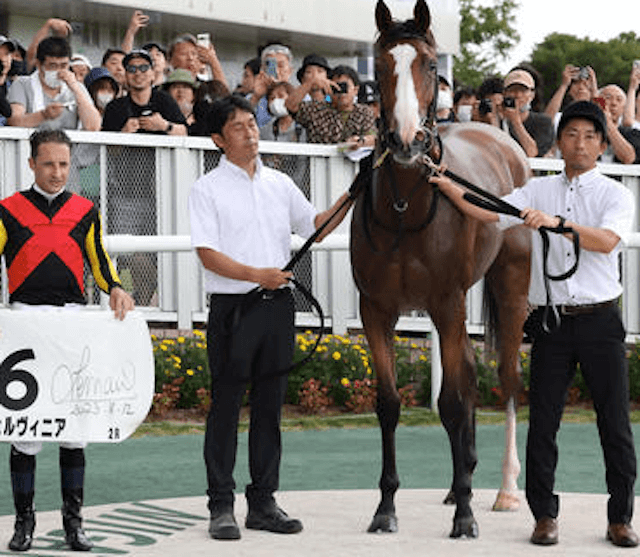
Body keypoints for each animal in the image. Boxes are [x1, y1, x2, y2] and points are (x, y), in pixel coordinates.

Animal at [350, 0, 528, 540]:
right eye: (379, 67)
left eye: (430, 65)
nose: (407, 140)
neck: (405, 207)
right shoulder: (377, 309)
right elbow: (389, 403)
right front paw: (385, 507)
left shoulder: (447, 302)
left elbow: (450, 400)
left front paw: (466, 516)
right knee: (468, 374)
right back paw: (458, 480)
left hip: (510, 283)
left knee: (504, 378)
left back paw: (505, 490)